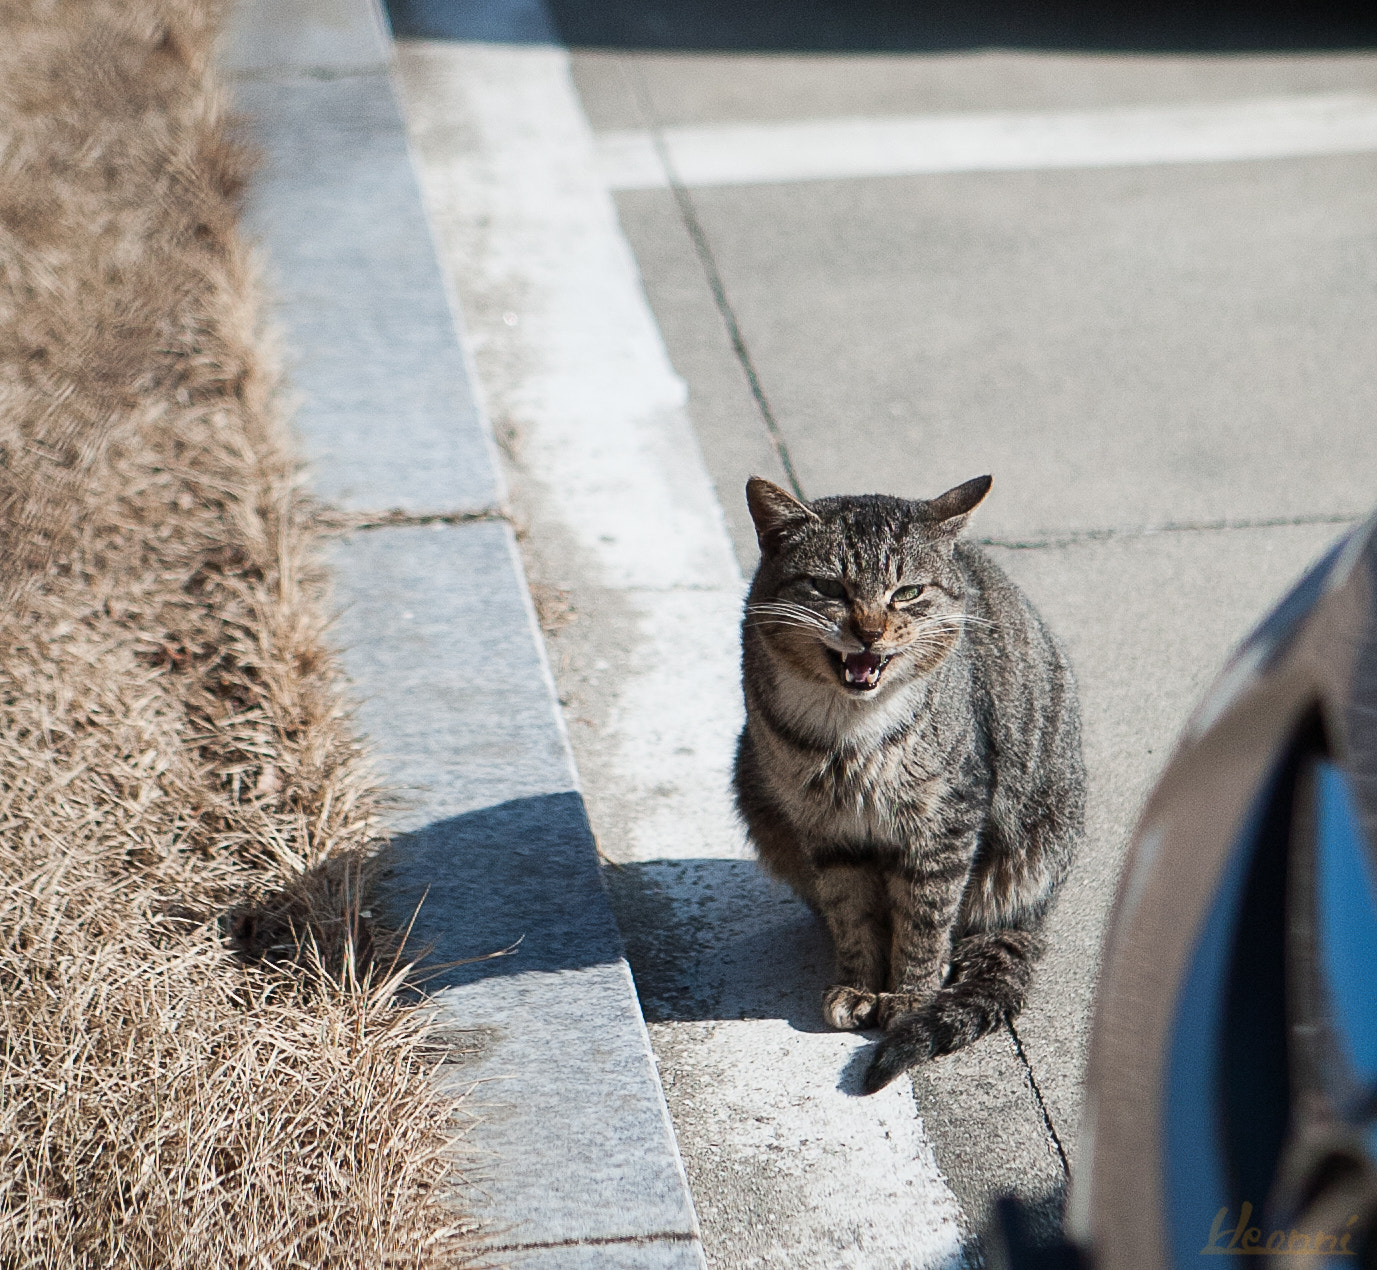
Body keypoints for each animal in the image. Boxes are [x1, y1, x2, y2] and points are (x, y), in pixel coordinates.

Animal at [732, 473, 1085, 1090]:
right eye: (829, 587)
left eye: (908, 592)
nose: (869, 632)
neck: (851, 730)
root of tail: (1038, 911)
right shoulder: (826, 827)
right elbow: (850, 911)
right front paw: (858, 984)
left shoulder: (946, 819)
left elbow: (925, 914)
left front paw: (909, 995)